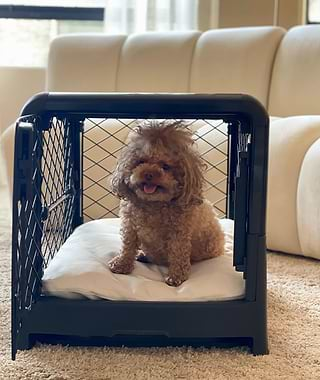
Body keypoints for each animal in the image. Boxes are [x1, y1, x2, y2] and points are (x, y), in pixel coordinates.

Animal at [109, 120, 224, 286]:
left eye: (165, 166)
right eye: (141, 161)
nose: (148, 174)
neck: (154, 203)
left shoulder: (179, 233)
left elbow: (178, 253)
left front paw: (176, 276)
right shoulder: (130, 225)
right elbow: (127, 246)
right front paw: (121, 264)